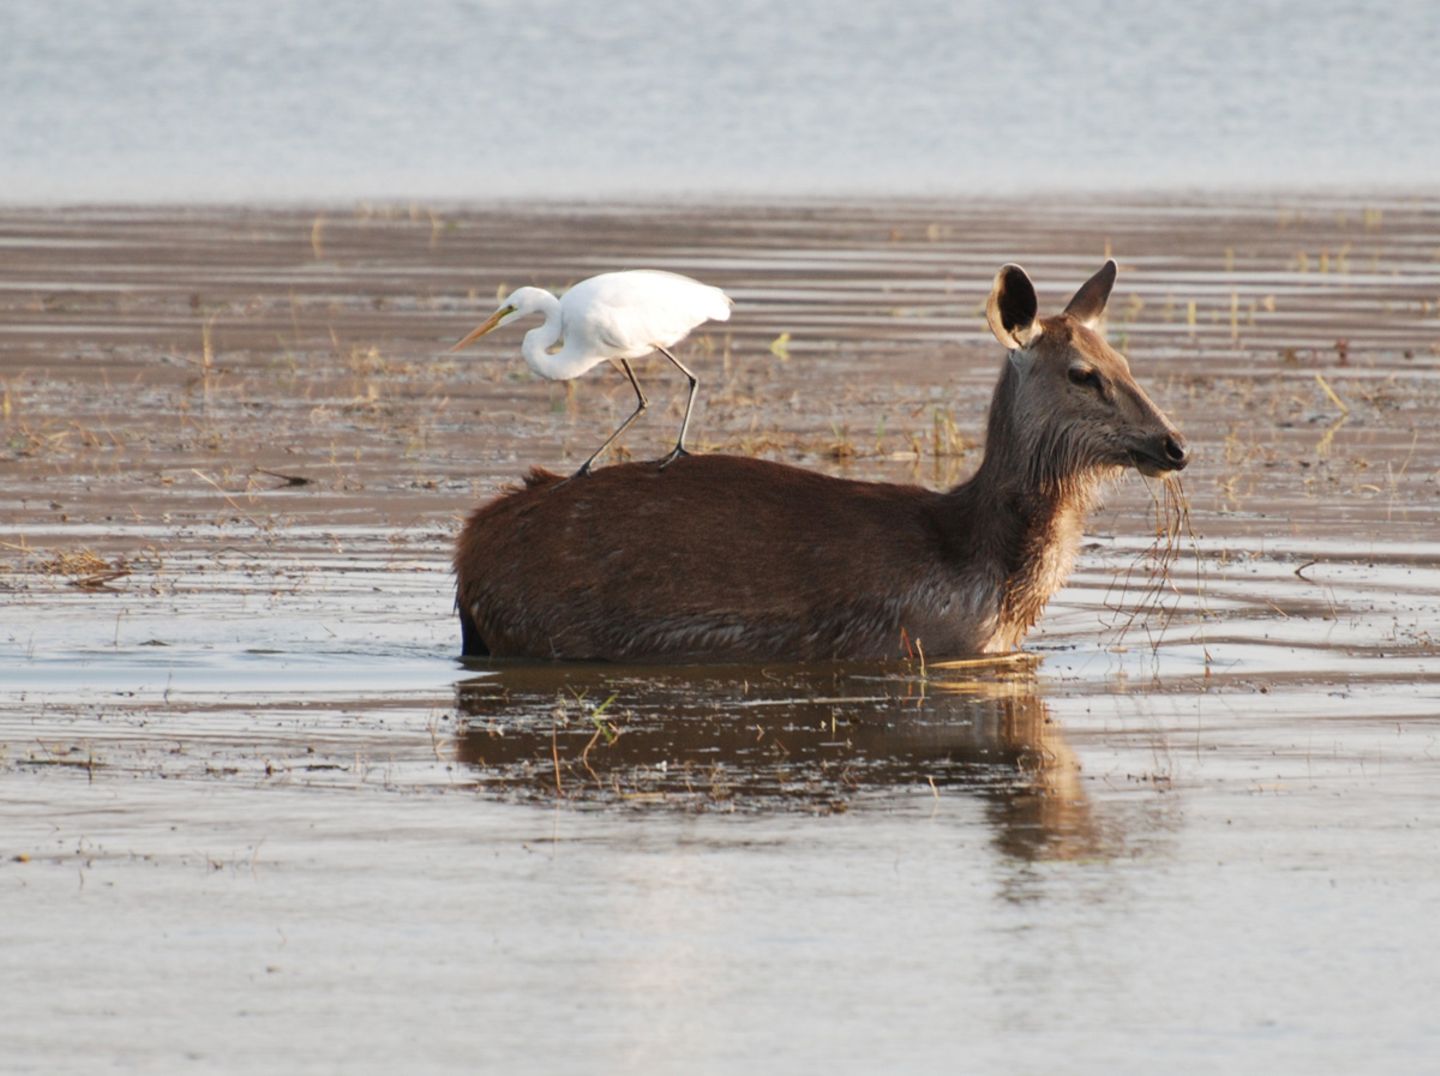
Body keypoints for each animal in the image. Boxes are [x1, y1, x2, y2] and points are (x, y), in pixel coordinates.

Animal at [453, 260, 1189, 663]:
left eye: (1125, 360)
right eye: (1083, 373)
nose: (1174, 445)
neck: (988, 573)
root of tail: (467, 555)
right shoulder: (919, 641)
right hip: (547, 623)